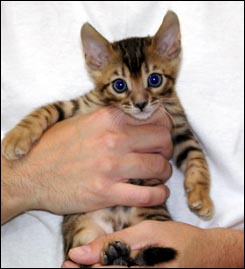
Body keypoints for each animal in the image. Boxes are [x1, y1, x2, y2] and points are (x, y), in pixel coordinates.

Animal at [1, 11, 213, 266]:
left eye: (154, 80)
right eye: (119, 85)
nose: (140, 104)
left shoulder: (180, 129)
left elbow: (197, 159)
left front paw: (201, 196)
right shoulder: (78, 106)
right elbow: (45, 111)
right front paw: (15, 139)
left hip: (153, 219)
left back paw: (118, 255)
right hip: (82, 233)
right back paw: (114, 255)